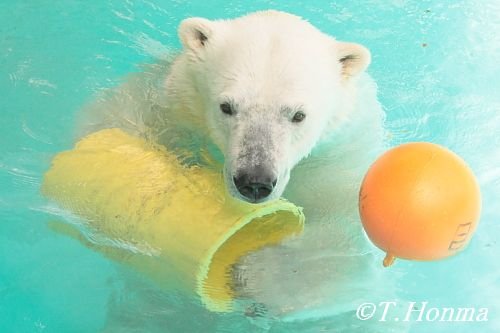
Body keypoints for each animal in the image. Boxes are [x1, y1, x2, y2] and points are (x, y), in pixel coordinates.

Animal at [80, 9, 400, 326]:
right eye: (227, 107)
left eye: (298, 115)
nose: (255, 181)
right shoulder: (171, 101)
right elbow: (108, 119)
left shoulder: (339, 159)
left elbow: (339, 248)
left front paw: (259, 272)